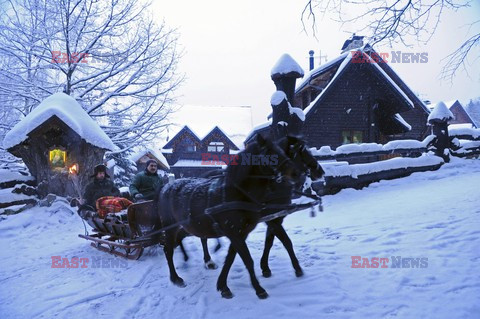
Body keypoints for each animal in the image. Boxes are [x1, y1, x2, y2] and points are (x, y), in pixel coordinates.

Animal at [158, 135, 308, 300]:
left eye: (283, 151)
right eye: (270, 154)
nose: (297, 173)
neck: (236, 193)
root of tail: (165, 187)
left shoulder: (242, 233)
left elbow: (231, 257)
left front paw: (223, 286)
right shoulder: (237, 232)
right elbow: (248, 259)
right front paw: (259, 289)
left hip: (189, 225)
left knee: (193, 239)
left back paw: (202, 261)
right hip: (170, 227)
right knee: (168, 250)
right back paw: (176, 278)